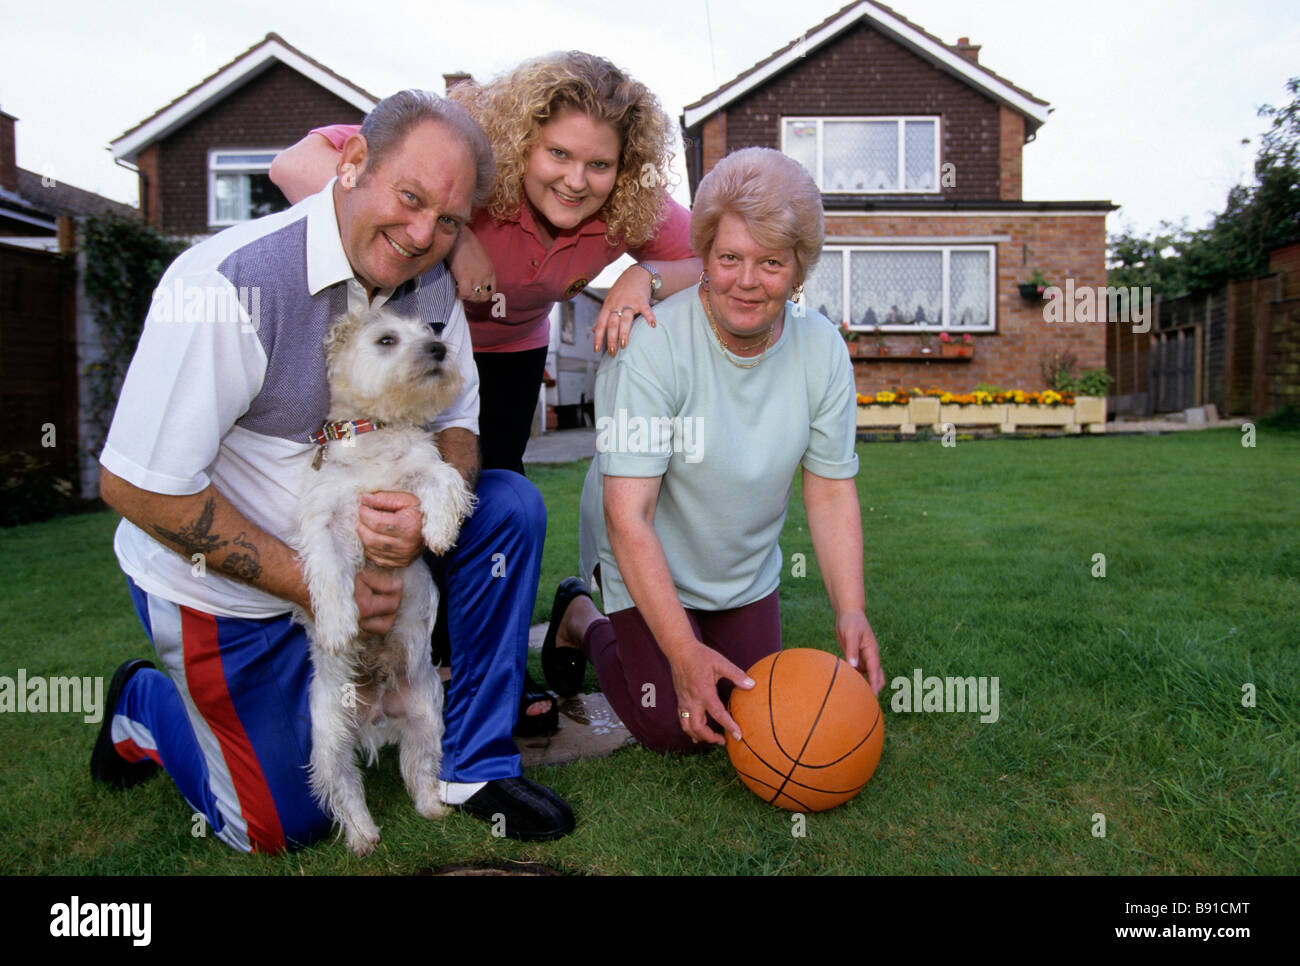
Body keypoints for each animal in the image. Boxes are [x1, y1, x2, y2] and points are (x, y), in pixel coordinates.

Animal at [292, 305, 475, 858]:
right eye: (387, 339)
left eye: (430, 331)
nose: (439, 348)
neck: (374, 436)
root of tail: (375, 720)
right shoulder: (323, 520)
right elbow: (329, 573)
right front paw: (337, 625)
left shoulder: (421, 472)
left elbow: (443, 480)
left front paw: (438, 530)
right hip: (330, 739)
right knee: (343, 789)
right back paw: (362, 836)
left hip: (427, 715)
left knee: (419, 769)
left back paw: (433, 808)